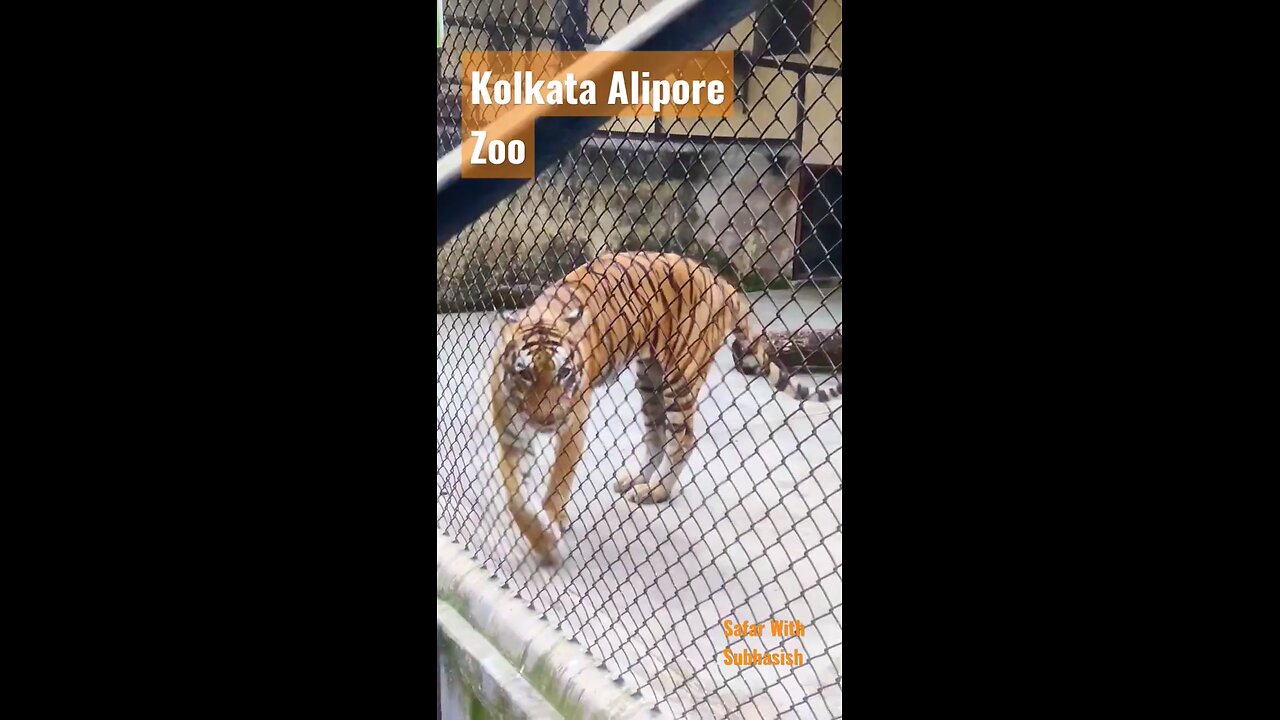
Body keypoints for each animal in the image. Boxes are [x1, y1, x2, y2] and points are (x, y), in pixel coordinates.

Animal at [488, 249, 839, 563]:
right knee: (656, 434)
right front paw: (541, 535)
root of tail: (720, 281)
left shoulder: (574, 420)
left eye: (563, 372)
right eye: (525, 373)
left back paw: (656, 492)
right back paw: (639, 482)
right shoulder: (511, 434)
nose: (548, 419)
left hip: (679, 378)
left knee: (684, 439)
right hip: (650, 379)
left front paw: (552, 530)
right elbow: (514, 497)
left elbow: (559, 478)